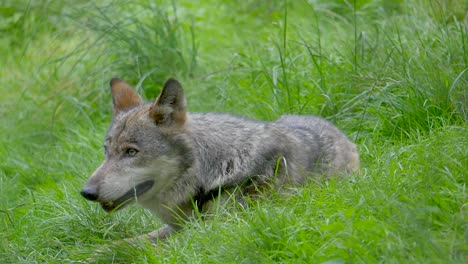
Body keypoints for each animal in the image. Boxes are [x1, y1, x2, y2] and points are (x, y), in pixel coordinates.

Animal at [80, 78, 360, 241]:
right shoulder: (178, 226)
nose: (86, 192)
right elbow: (120, 245)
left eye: (131, 152)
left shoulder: (213, 231)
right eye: (107, 151)